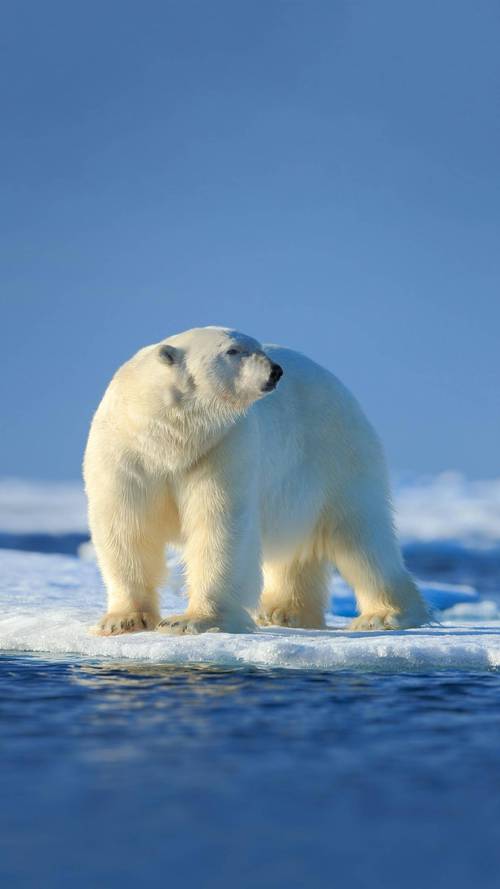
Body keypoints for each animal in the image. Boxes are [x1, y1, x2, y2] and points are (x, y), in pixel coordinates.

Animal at [83, 326, 428, 636]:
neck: (170, 438)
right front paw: (123, 620)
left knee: (361, 537)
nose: (276, 371)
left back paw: (383, 615)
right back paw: (284, 611)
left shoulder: (222, 446)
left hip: (336, 453)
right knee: (299, 547)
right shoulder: (127, 454)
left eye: (259, 346)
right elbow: (126, 526)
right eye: (232, 350)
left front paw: (191, 621)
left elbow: (218, 525)